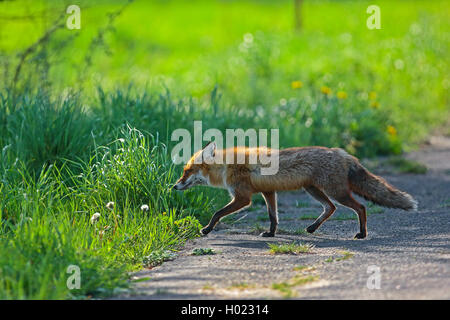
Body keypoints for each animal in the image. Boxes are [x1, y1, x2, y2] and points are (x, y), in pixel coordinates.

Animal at [173, 142, 418, 238]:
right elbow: (273, 217)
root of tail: (342, 153)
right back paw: (312, 228)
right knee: (331, 208)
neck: (226, 166)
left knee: (361, 207)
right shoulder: (268, 192)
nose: (173, 186)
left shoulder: (243, 198)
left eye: (186, 171)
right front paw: (271, 234)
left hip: (335, 191)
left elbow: (217, 213)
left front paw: (207, 229)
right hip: (314, 190)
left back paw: (362, 233)